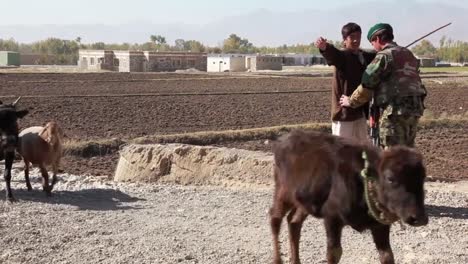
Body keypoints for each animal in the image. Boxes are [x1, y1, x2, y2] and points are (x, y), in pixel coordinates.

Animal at [270, 130, 428, 264]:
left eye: (423, 178)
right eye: (390, 178)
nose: (419, 218)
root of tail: (284, 139)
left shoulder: (380, 225)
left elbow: (387, 256)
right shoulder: (331, 218)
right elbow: (334, 253)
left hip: (304, 202)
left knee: (293, 221)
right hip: (283, 193)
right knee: (275, 219)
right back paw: (277, 260)